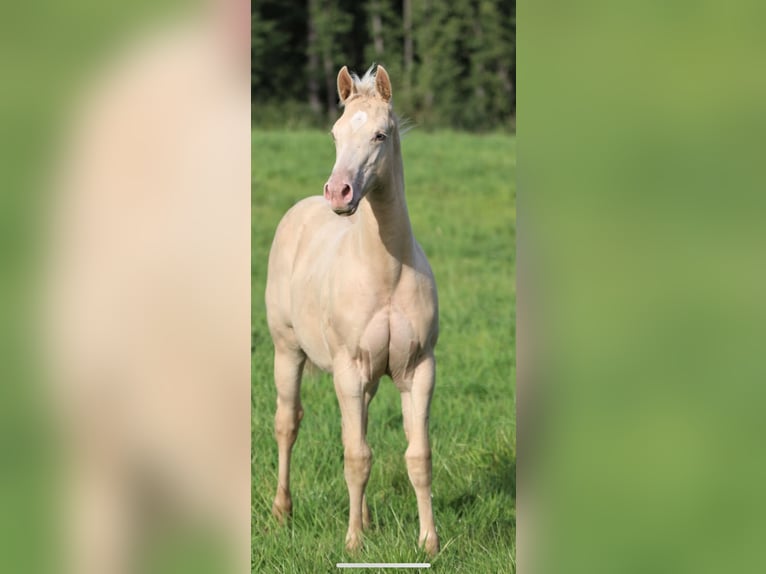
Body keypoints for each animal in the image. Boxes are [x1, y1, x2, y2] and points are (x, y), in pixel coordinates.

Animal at [265, 65, 440, 555]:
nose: (339, 193)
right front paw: (353, 544)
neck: (386, 273)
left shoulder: (419, 370)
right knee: (287, 423)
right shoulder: (348, 369)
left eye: (381, 134)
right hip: (287, 350)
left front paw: (429, 541)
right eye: (335, 133)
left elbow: (417, 457)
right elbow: (356, 457)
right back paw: (282, 511)